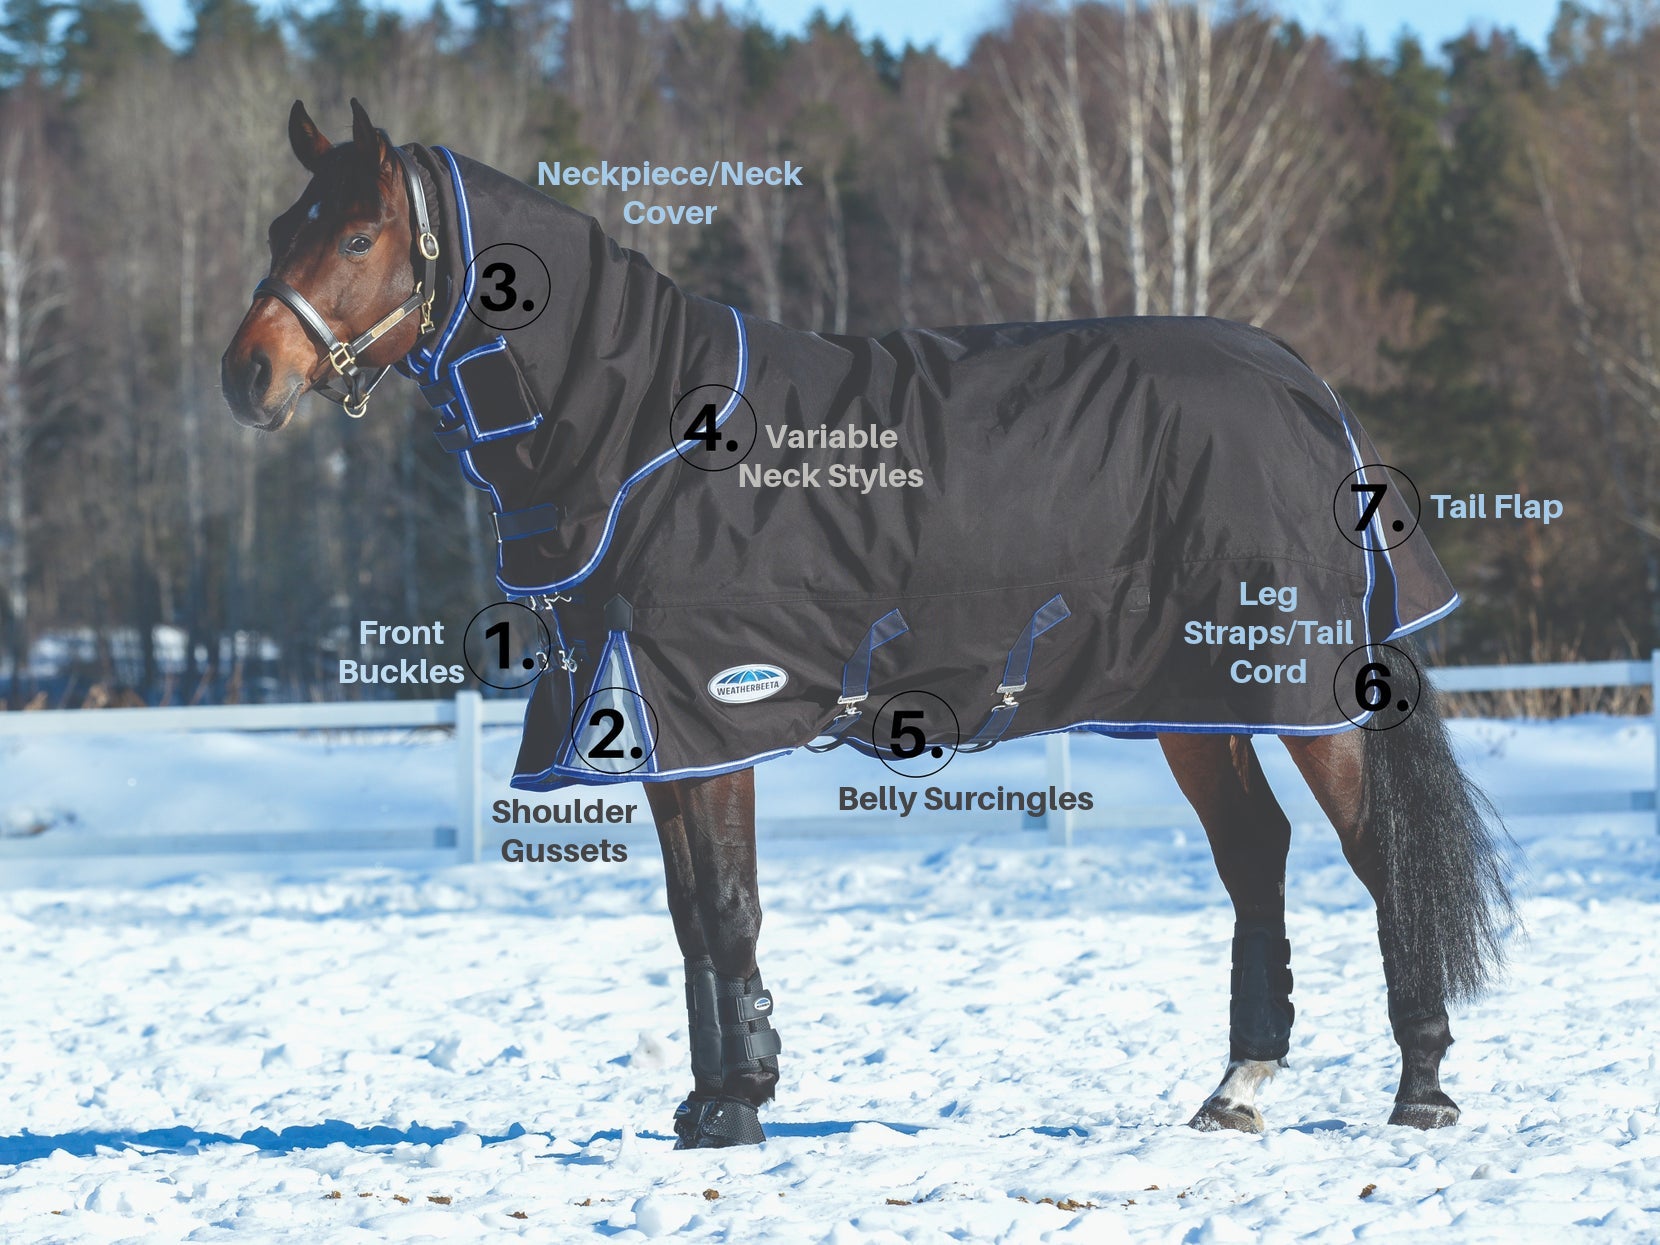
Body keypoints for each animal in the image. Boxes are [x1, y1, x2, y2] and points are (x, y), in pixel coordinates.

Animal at [222, 100, 1512, 1149]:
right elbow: (692, 921)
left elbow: (728, 906)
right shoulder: (654, 728)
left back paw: (1421, 1091)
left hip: (1300, 689)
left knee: (1376, 857)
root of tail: (1303, 387)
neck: (645, 438)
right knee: (1256, 858)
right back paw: (1237, 1091)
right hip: (1194, 702)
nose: (249, 377)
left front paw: (736, 1107)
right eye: (279, 227)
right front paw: (713, 1097)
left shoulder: (711, 709)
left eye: (354, 238)